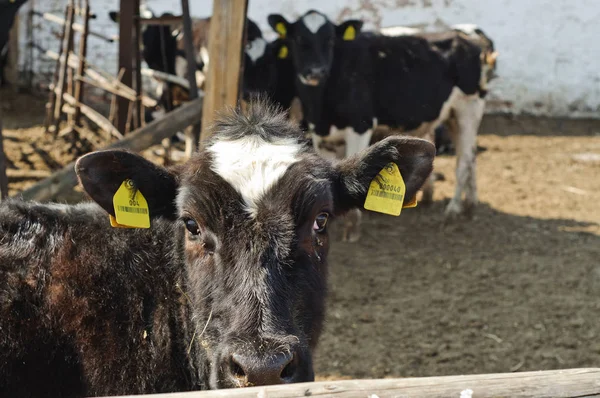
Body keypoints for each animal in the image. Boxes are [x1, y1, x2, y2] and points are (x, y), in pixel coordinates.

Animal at [270, 10, 490, 239]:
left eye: (330, 39)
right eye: (297, 38)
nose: (316, 72)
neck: (320, 108)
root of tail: (472, 41)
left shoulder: (360, 126)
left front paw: (352, 228)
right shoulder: (321, 136)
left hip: (469, 108)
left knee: (464, 160)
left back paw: (453, 210)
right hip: (453, 116)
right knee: (472, 155)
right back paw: (470, 206)